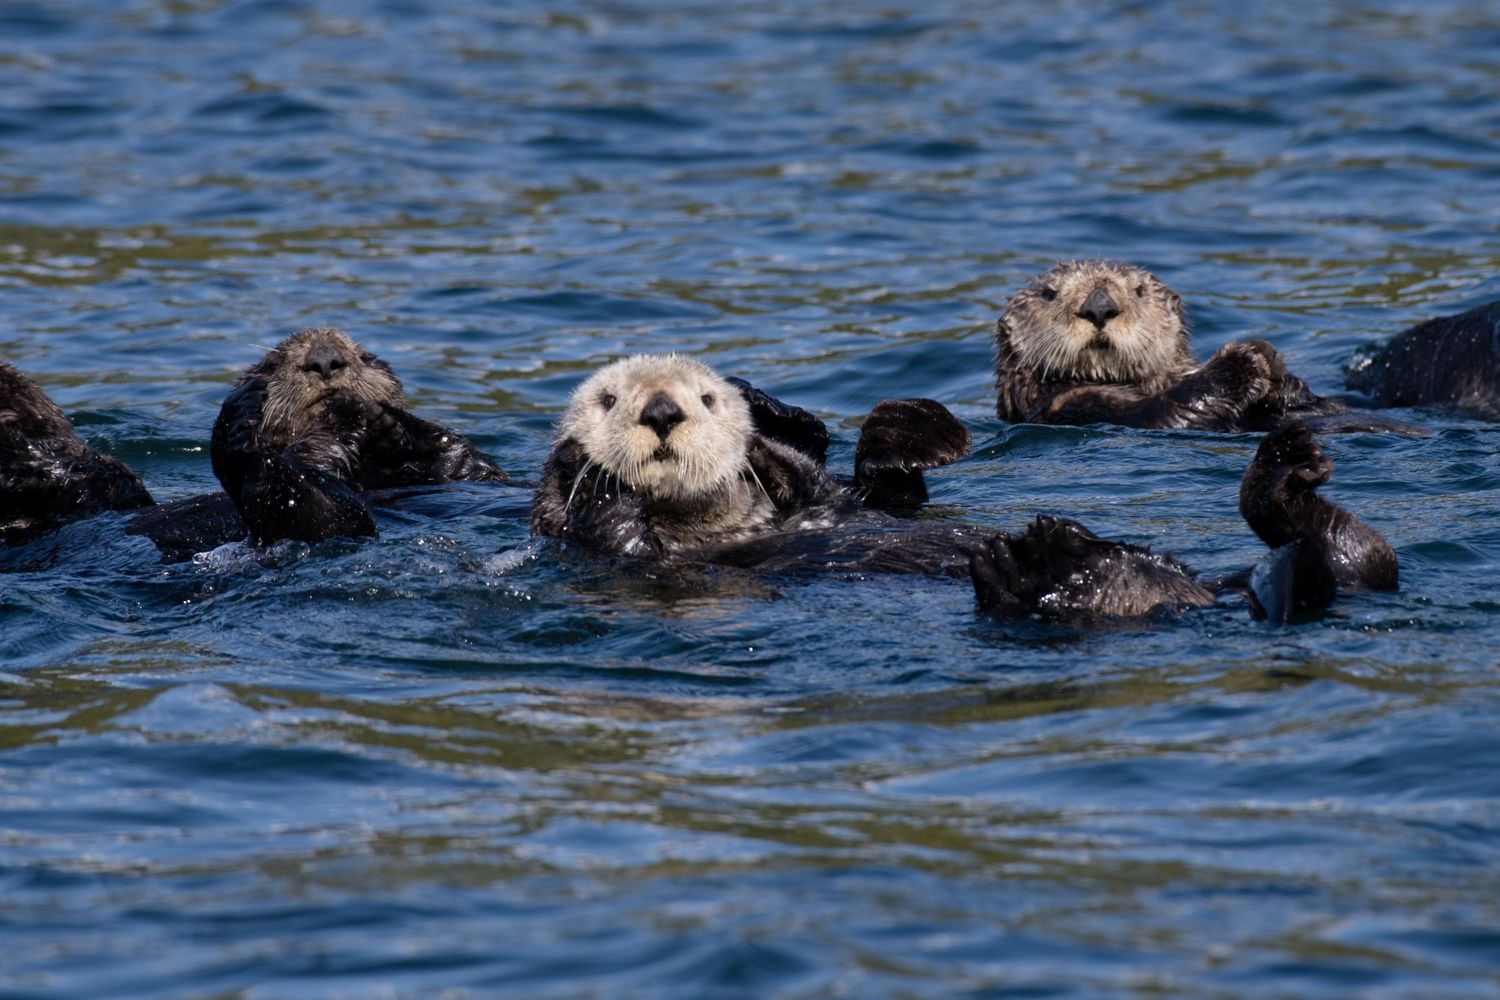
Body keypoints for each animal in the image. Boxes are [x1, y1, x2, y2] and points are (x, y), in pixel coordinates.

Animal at [211, 326, 514, 546]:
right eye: (272, 364)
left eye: (365, 357)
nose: (324, 359)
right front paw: (347, 412)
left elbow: (471, 465)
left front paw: (387, 422)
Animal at [994, 260, 1345, 431]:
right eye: (1049, 294)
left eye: (1138, 290)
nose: (1099, 307)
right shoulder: (1072, 406)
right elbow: (1166, 411)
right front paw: (1244, 361)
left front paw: (1274, 367)